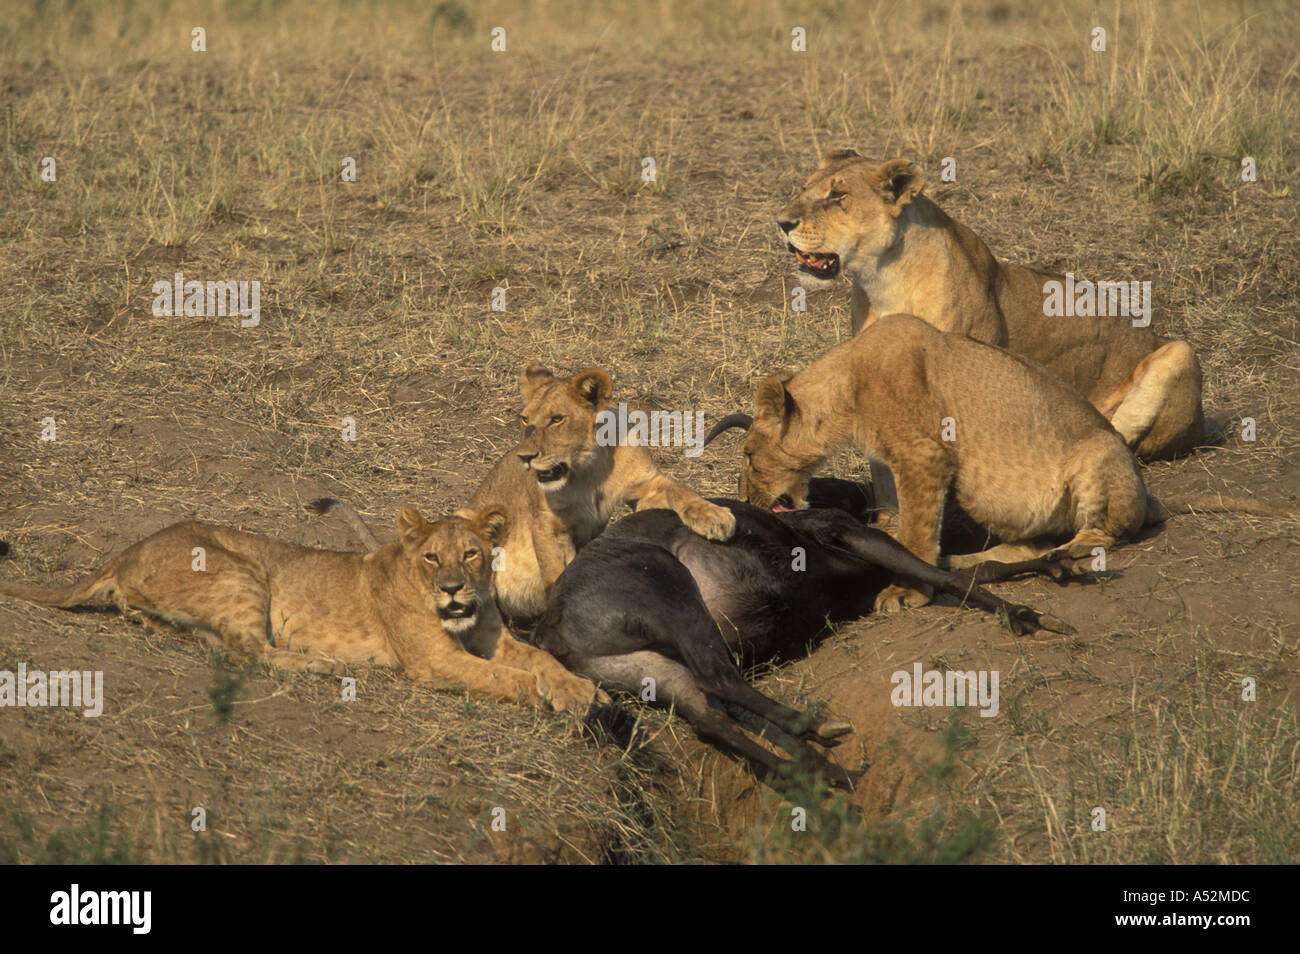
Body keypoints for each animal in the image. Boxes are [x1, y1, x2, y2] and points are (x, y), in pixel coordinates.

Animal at [0, 506, 602, 712]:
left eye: (471, 553)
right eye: (433, 556)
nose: (453, 589)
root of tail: (129, 548)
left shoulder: (491, 637)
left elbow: (539, 660)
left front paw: (580, 689)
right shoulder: (433, 661)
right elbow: (505, 677)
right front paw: (554, 696)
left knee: (224, 646)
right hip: (245, 571)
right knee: (248, 651)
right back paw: (319, 665)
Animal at [709, 314, 1285, 611]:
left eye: (749, 457)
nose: (744, 499)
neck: (846, 391)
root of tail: (1148, 493)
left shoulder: (924, 456)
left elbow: (917, 529)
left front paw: (906, 590)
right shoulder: (898, 461)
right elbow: (903, 521)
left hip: (1098, 454)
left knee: (1105, 533)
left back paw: (1065, 556)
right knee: (1027, 544)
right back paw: (966, 561)